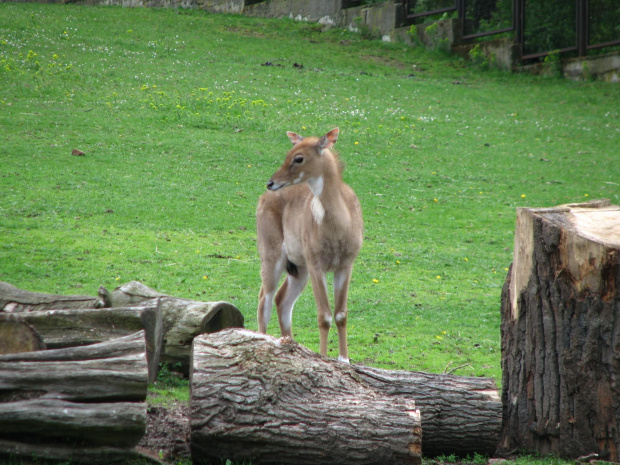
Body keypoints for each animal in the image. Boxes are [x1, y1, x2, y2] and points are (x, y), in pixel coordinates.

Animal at [256, 127, 364, 362]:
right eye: (288, 152)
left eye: (298, 158)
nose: (271, 182)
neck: (338, 229)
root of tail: (262, 198)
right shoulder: (316, 263)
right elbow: (324, 316)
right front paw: (323, 357)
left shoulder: (345, 264)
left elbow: (341, 314)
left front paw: (344, 359)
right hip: (271, 253)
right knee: (264, 299)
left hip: (299, 268)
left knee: (282, 299)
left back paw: (288, 343)